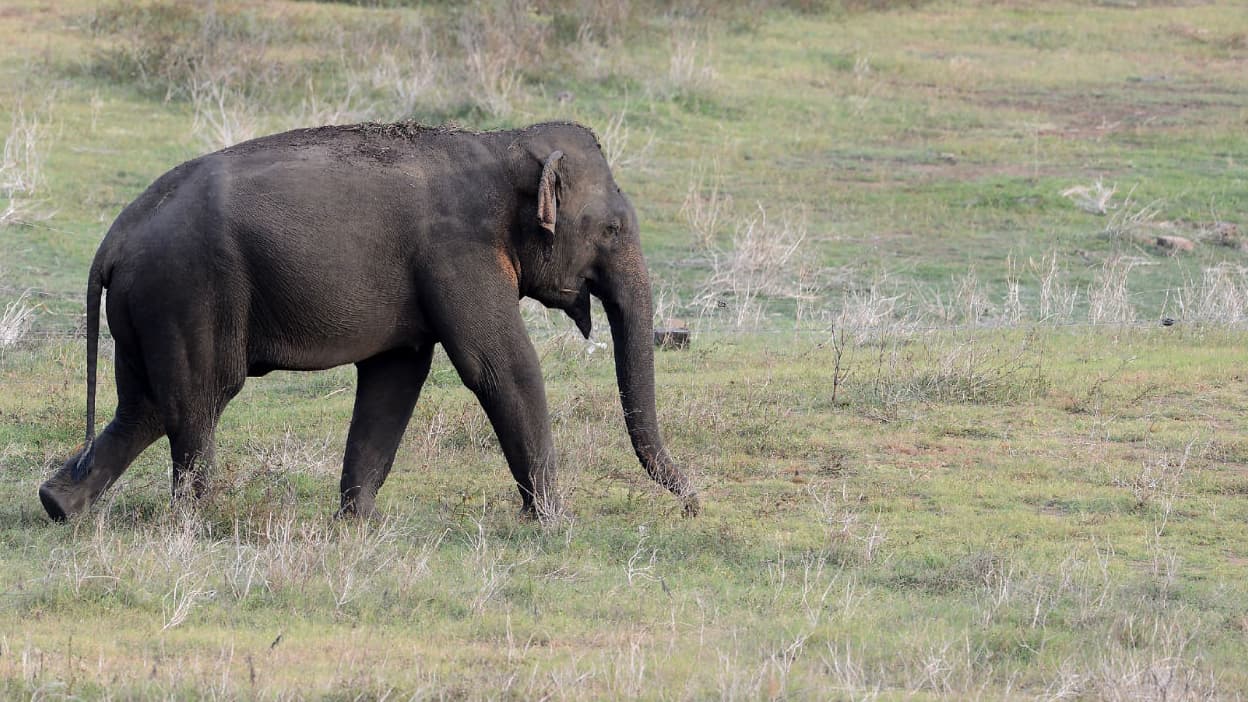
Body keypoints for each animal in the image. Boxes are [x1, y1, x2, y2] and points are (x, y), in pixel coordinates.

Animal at [36, 121, 703, 519]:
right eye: (612, 229)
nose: (694, 501)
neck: (503, 144)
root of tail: (114, 237)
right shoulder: (459, 254)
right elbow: (500, 369)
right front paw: (553, 523)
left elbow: (395, 377)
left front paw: (355, 522)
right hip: (187, 294)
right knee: (198, 401)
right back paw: (198, 522)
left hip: (146, 309)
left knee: (145, 406)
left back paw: (60, 505)